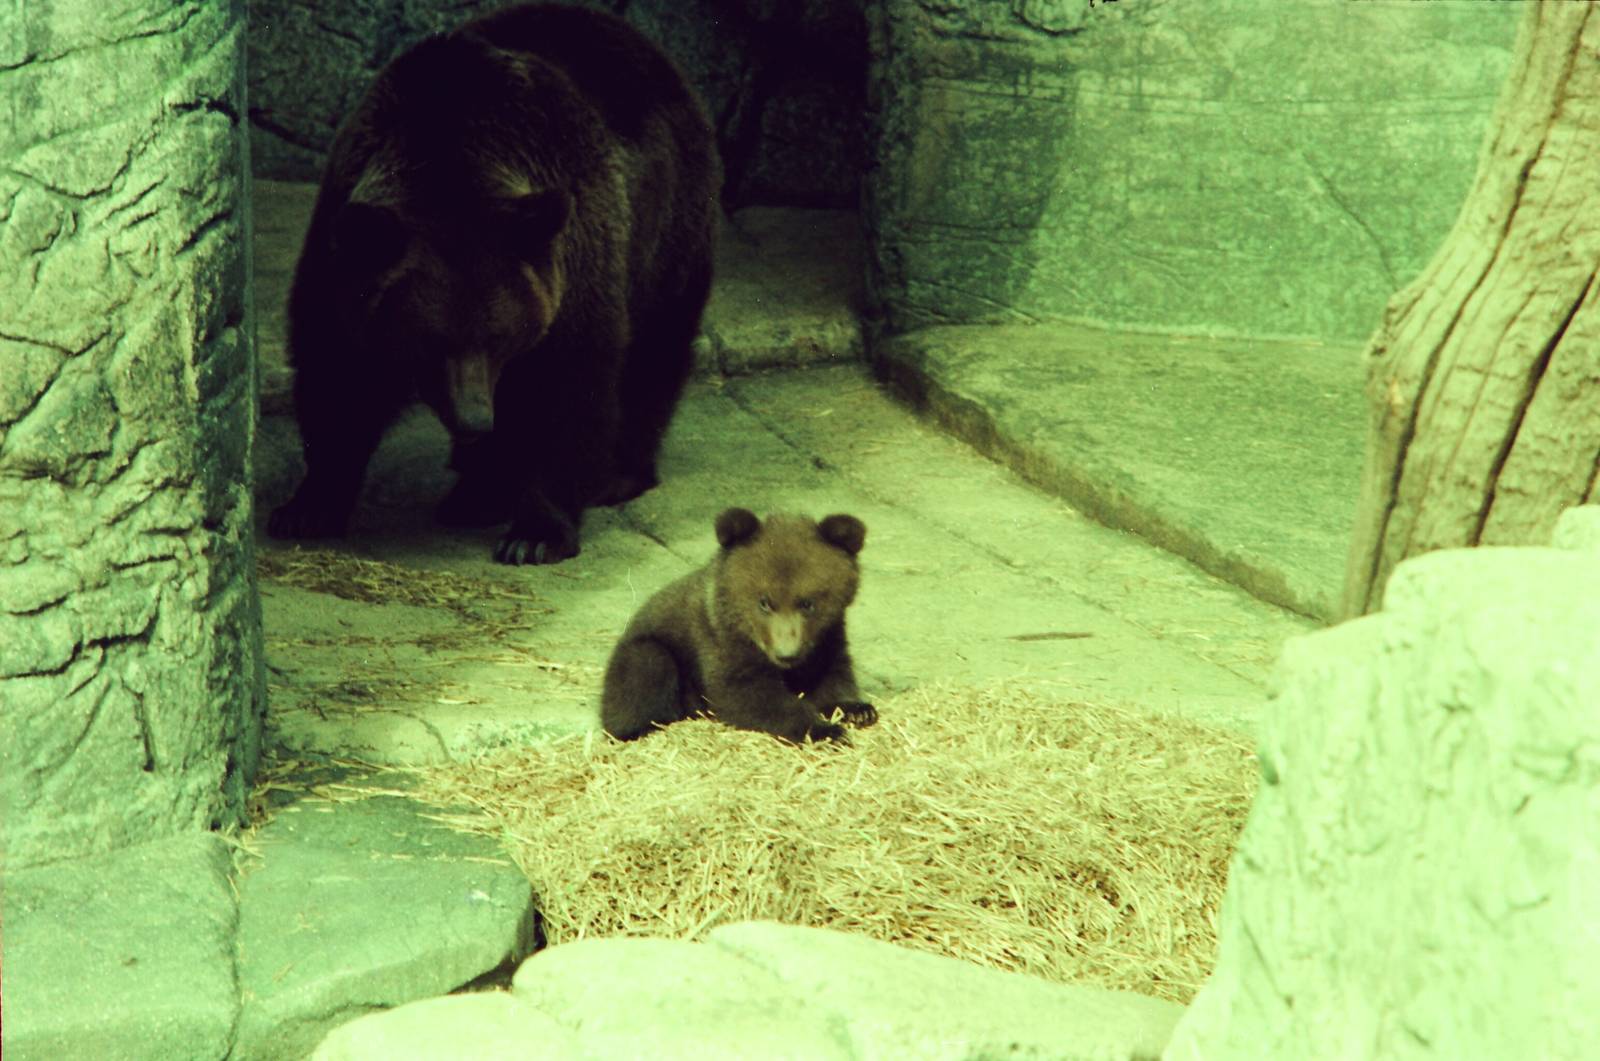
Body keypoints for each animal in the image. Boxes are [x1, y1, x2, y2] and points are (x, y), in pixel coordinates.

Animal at [267, 4, 721, 564]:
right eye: (430, 340)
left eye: (498, 336)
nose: (475, 419)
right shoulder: (343, 263)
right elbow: (337, 373)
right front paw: (307, 507)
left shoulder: (570, 264)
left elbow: (566, 386)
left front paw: (536, 534)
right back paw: (474, 493)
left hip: (667, 223)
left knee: (653, 348)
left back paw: (615, 474)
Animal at [600, 508, 877, 744]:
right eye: (764, 602)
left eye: (808, 603)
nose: (786, 654)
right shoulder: (722, 643)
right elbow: (750, 696)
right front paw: (825, 730)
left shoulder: (827, 639)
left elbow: (832, 677)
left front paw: (858, 710)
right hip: (645, 652)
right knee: (645, 667)